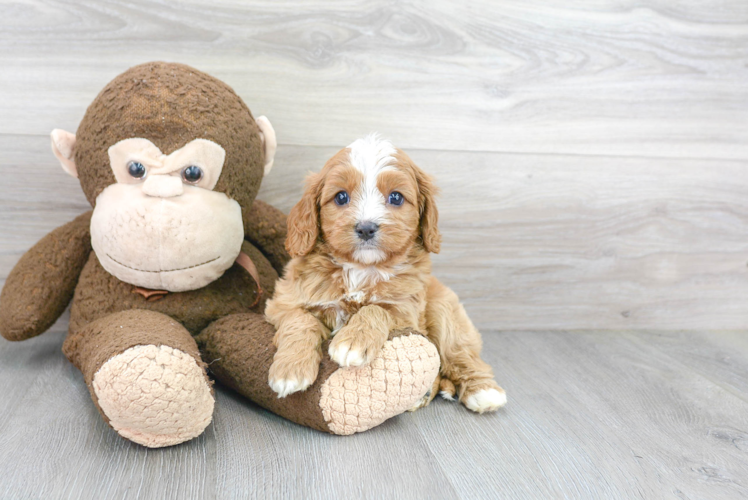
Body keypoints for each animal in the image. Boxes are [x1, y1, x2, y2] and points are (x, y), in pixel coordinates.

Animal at [266, 134, 506, 414]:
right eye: (341, 197)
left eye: (396, 198)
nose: (366, 228)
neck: (362, 268)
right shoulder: (283, 302)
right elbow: (300, 320)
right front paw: (290, 370)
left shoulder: (407, 312)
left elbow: (377, 309)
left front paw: (353, 342)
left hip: (445, 312)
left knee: (460, 354)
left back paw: (483, 391)